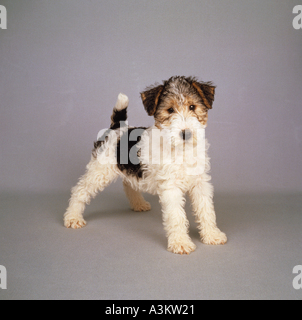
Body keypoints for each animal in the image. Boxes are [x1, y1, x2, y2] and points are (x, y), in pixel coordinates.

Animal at [64, 76, 229, 254]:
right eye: (170, 110)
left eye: (192, 106)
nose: (186, 133)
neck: (181, 150)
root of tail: (116, 128)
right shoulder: (170, 186)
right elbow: (176, 216)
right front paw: (180, 243)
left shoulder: (200, 182)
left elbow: (206, 210)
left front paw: (212, 235)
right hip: (100, 171)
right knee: (80, 190)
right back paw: (73, 217)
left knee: (128, 183)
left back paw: (139, 204)